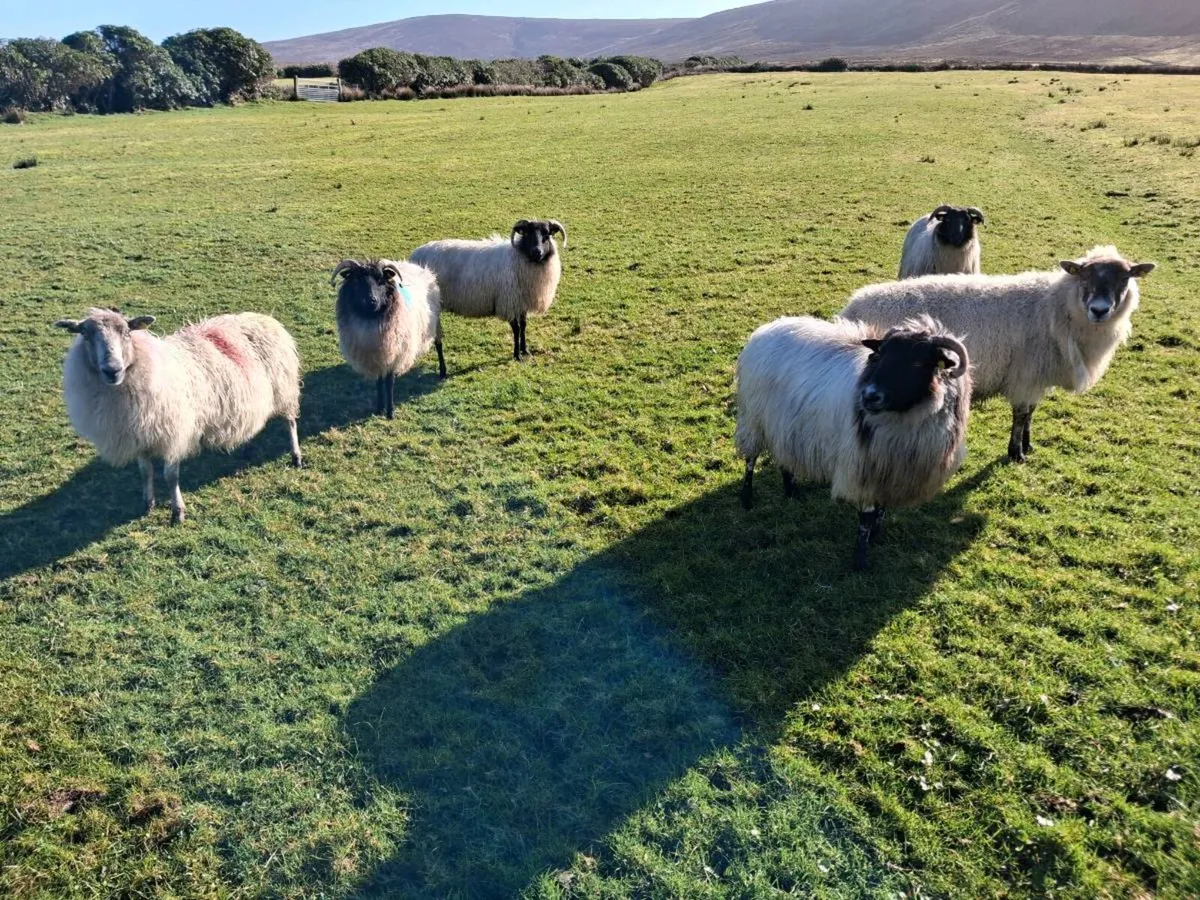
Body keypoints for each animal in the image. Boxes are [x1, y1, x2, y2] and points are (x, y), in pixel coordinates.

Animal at [54, 307, 302, 524]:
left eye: (126, 332)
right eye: (85, 334)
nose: (112, 370)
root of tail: (264, 318)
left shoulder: (174, 433)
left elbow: (170, 477)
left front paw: (177, 512)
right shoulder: (139, 435)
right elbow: (145, 472)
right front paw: (148, 504)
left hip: (284, 388)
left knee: (290, 422)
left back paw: (296, 456)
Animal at [331, 258, 446, 418]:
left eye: (380, 280)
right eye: (357, 280)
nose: (371, 300)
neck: (372, 321)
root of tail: (417, 266)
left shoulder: (395, 354)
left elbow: (389, 383)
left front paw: (390, 412)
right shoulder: (377, 356)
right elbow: (379, 382)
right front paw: (379, 408)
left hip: (434, 323)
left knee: (439, 344)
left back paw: (442, 371)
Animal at [409, 219, 567, 362]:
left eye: (547, 234)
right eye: (527, 233)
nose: (537, 252)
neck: (519, 257)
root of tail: (415, 255)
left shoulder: (521, 302)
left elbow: (523, 326)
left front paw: (525, 350)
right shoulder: (508, 302)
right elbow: (516, 329)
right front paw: (517, 355)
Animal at [735, 314, 971, 571]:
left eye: (918, 363)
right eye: (879, 355)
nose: (869, 396)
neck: (905, 417)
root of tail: (767, 328)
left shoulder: (889, 471)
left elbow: (881, 509)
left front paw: (876, 535)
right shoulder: (863, 467)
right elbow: (866, 517)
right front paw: (860, 561)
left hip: (785, 425)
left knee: (785, 456)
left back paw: (791, 492)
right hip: (753, 417)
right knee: (751, 457)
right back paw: (747, 497)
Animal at [841, 245, 1155, 461]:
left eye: (1125, 278)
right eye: (1084, 277)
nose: (1100, 310)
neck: (1058, 307)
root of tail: (851, 308)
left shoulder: (1035, 377)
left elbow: (1031, 412)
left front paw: (1028, 444)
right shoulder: (1025, 375)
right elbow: (1021, 414)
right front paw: (1016, 453)